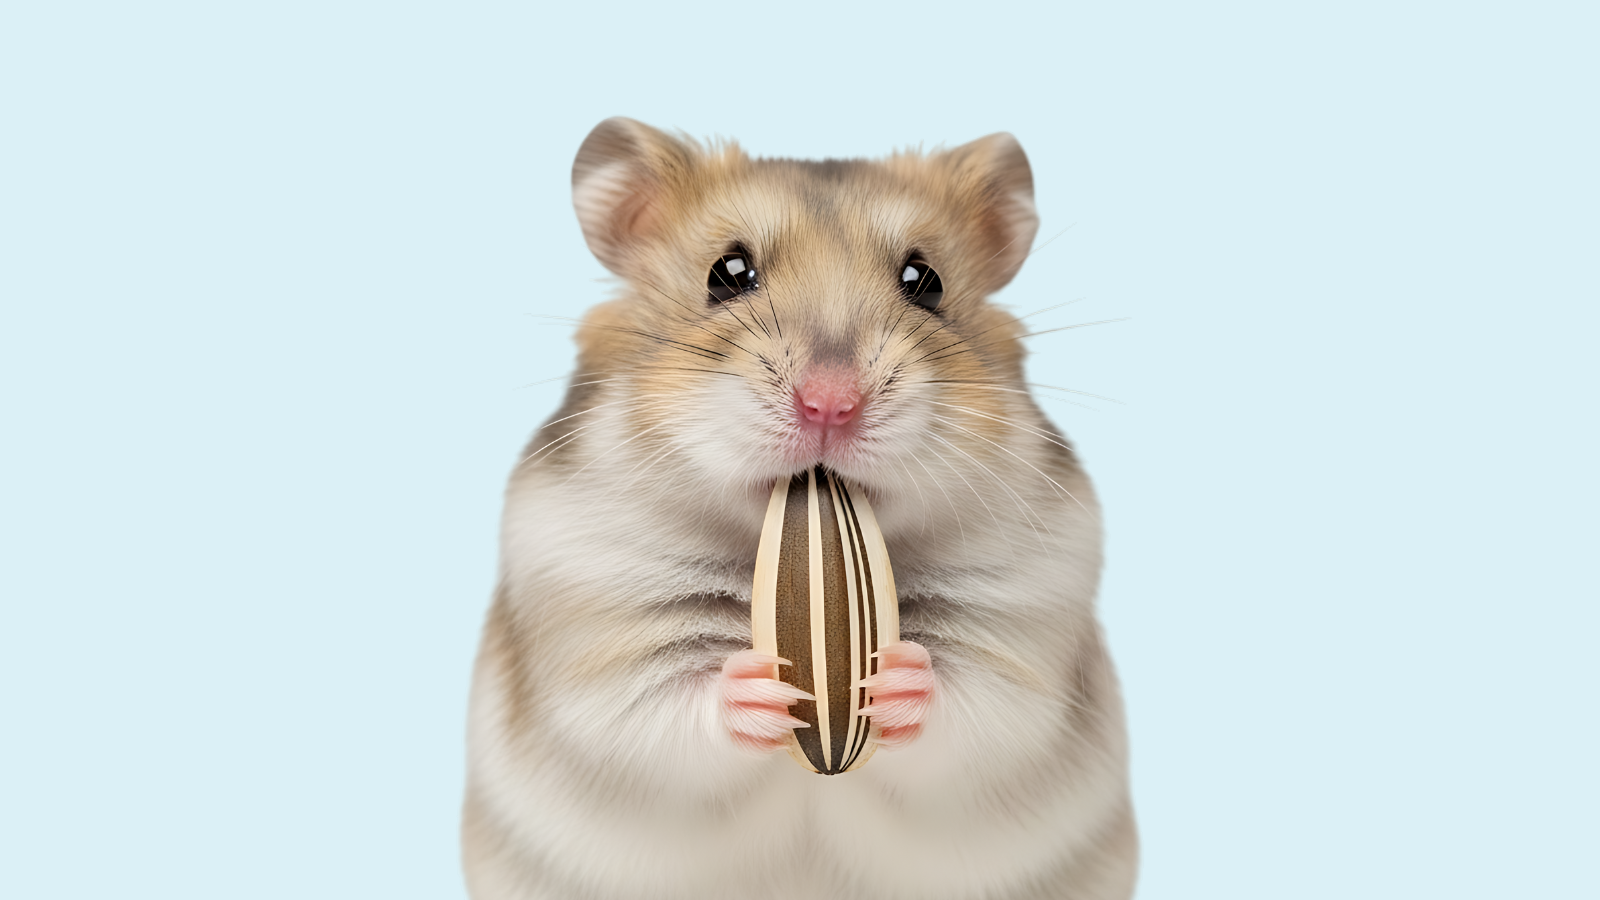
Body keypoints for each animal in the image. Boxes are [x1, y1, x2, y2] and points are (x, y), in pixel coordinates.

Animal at [462, 118, 1136, 900]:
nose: (830, 405)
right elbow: (660, 711)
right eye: (727, 274)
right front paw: (761, 687)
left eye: (925, 281)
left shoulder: (1024, 648)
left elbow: (974, 708)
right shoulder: (597, 646)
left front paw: (892, 676)